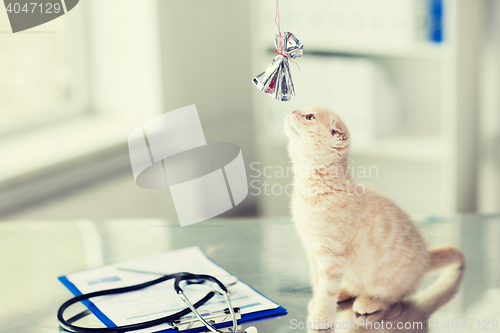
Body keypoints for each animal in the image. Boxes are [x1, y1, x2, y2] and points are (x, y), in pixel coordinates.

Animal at [286, 105, 464, 330]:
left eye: (310, 117)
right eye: (302, 110)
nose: (292, 111)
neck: (312, 188)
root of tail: (425, 257)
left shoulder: (331, 257)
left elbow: (326, 289)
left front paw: (321, 316)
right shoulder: (313, 254)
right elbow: (319, 285)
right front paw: (318, 303)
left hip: (390, 283)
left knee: (393, 296)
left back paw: (369, 301)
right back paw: (343, 293)